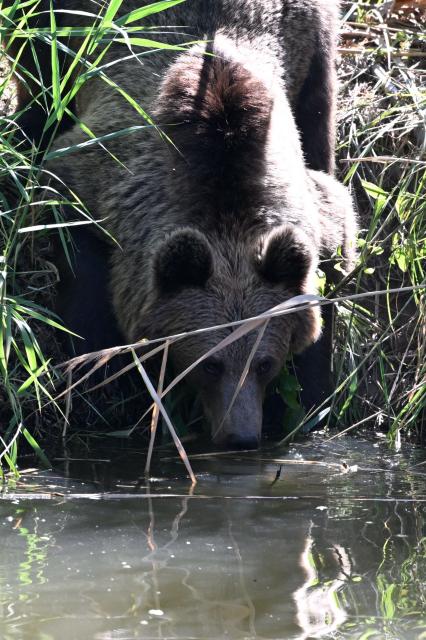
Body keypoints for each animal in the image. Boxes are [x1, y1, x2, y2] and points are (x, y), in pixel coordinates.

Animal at [5, 0, 357, 448]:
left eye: (263, 363)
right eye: (209, 364)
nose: (239, 436)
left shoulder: (316, 214)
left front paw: (308, 402)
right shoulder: (99, 180)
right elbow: (79, 268)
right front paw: (100, 378)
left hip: (315, 38)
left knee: (318, 113)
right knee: (39, 71)